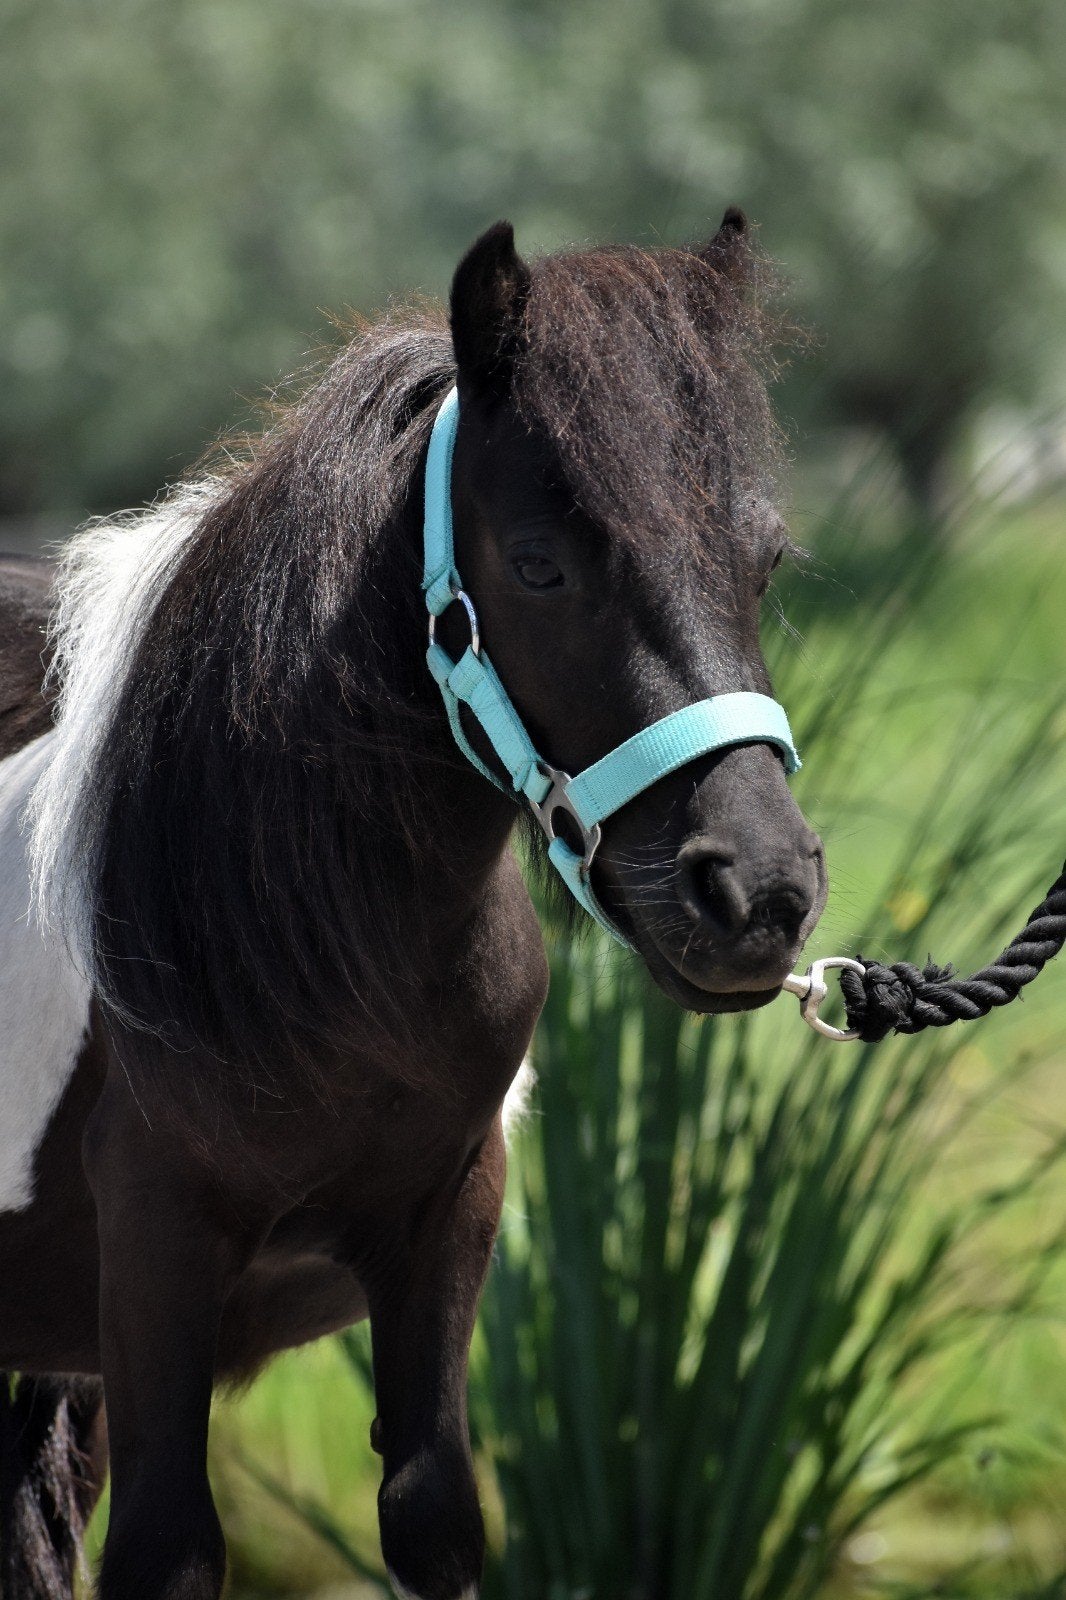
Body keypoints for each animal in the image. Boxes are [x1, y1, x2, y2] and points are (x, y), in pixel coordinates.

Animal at [0, 212, 827, 1600]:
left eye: (762, 563)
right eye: (540, 567)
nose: (757, 893)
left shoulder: (446, 1220)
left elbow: (433, 1510)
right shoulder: (157, 1245)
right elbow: (170, 1546)